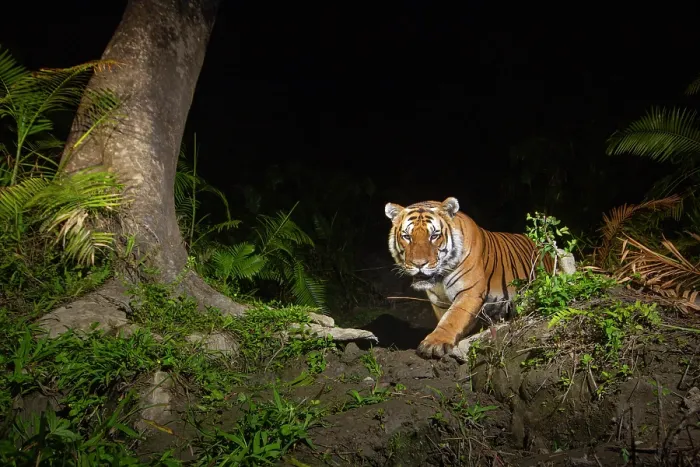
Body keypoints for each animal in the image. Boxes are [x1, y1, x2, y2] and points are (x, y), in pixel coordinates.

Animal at [385, 196, 555, 359]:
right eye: (407, 236)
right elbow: (446, 318)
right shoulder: (439, 301)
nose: (419, 264)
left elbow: (453, 318)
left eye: (434, 236)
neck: (439, 280)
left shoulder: (469, 292)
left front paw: (434, 344)